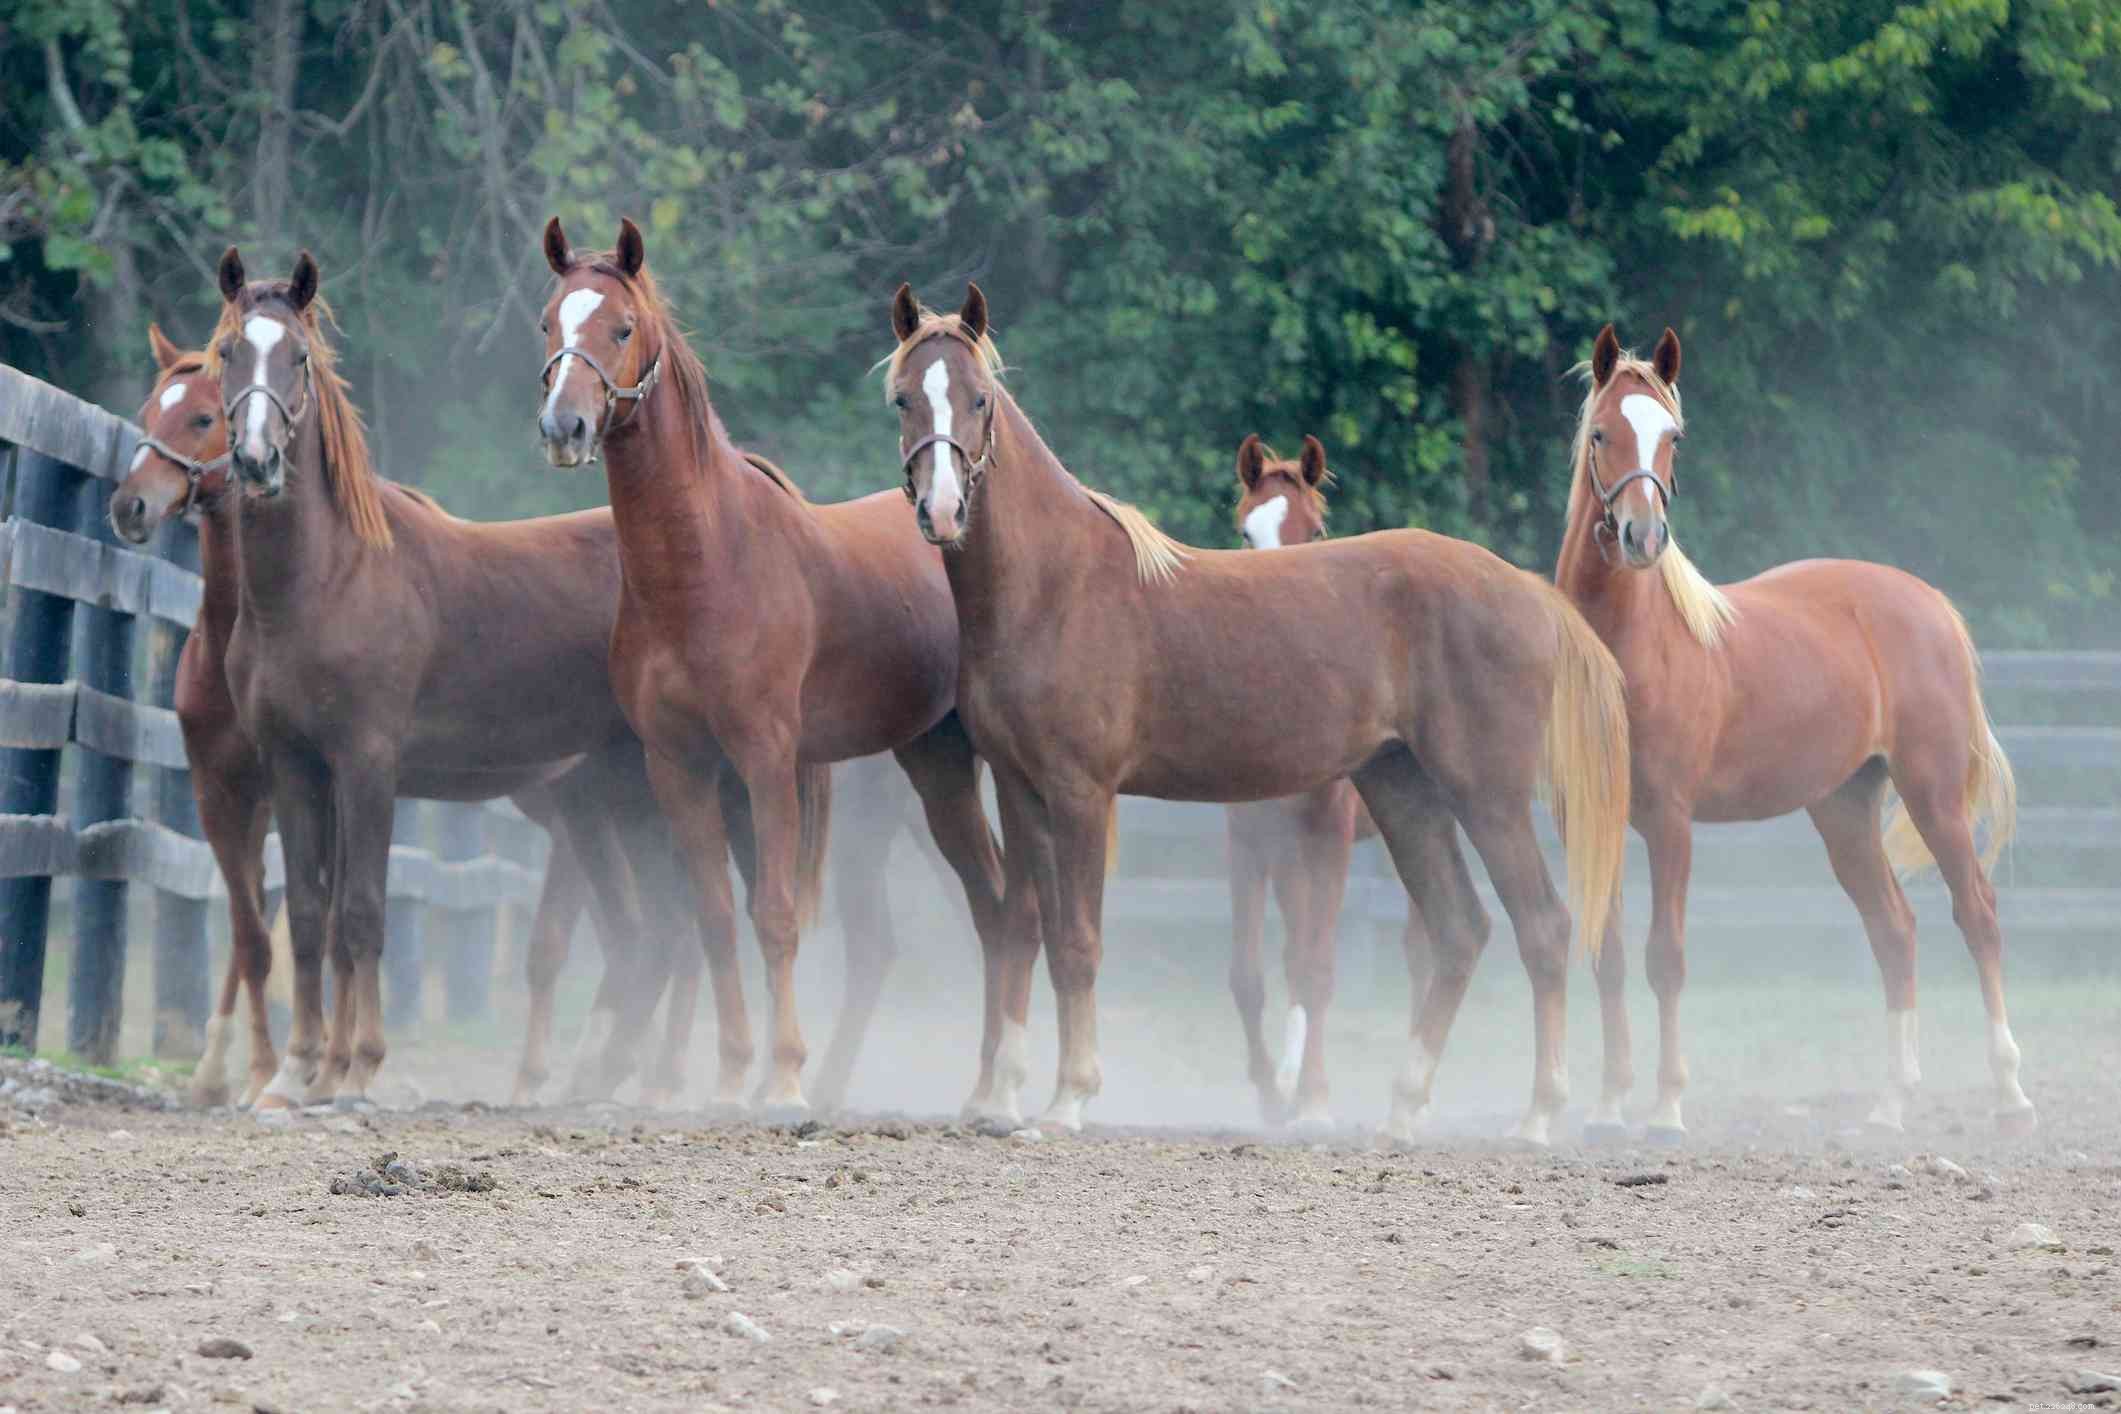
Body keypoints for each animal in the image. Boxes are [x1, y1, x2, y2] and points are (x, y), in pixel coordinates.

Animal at [202, 245, 829, 1111]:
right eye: (228, 352)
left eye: (296, 357)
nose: (256, 460)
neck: (324, 581)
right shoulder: (296, 766)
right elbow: (307, 916)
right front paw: (300, 1073)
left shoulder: (367, 765)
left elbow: (360, 914)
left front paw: (357, 1067)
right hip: (625, 799)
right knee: (663, 932)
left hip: (707, 786)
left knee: (715, 922)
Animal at [533, 217, 1024, 1120]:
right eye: (550, 323)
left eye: (621, 327)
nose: (564, 428)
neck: (702, 566)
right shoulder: (681, 766)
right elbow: (715, 917)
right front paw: (733, 1075)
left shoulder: (766, 762)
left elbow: (776, 915)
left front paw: (786, 1079)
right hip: (933, 766)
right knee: (992, 904)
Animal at [1225, 434, 1433, 1131]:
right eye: (1245, 531)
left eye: (1314, 532)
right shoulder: (1248, 845)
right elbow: (1250, 974)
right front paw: (1270, 1093)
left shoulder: (1330, 842)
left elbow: (1316, 970)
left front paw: (1314, 1100)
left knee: (1421, 947)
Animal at [1555, 325, 2032, 1141]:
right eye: (1600, 434)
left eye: (1673, 437)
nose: (1643, 537)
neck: (1631, 648)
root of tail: (1929, 603)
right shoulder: (1596, 820)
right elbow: (1609, 955)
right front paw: (1609, 1107)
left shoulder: (1670, 823)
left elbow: (1664, 957)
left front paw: (1667, 1109)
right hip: (1842, 811)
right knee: (1894, 930)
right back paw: (1890, 1104)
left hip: (1932, 795)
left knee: (1977, 915)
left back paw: (2009, 1095)